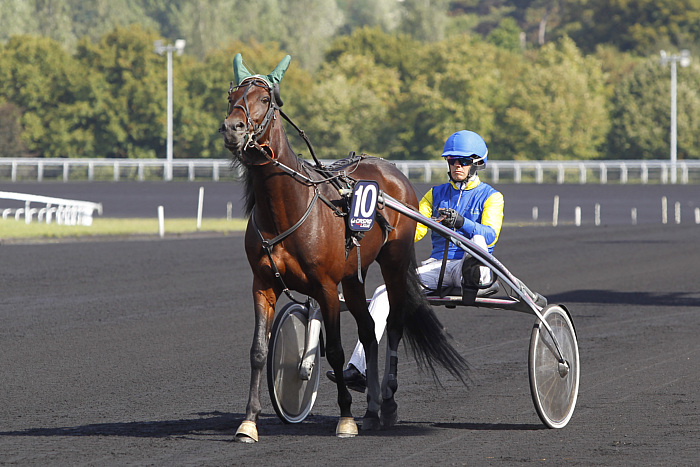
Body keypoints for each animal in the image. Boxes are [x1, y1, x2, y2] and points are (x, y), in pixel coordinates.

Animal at [221, 54, 468, 442]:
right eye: (231, 96)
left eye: (265, 99)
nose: (232, 128)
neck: (288, 208)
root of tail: (390, 169)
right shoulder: (262, 284)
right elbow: (259, 350)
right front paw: (248, 422)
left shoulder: (325, 285)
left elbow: (335, 351)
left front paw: (346, 418)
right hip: (354, 275)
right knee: (368, 329)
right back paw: (373, 409)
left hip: (394, 261)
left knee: (393, 323)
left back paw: (387, 404)